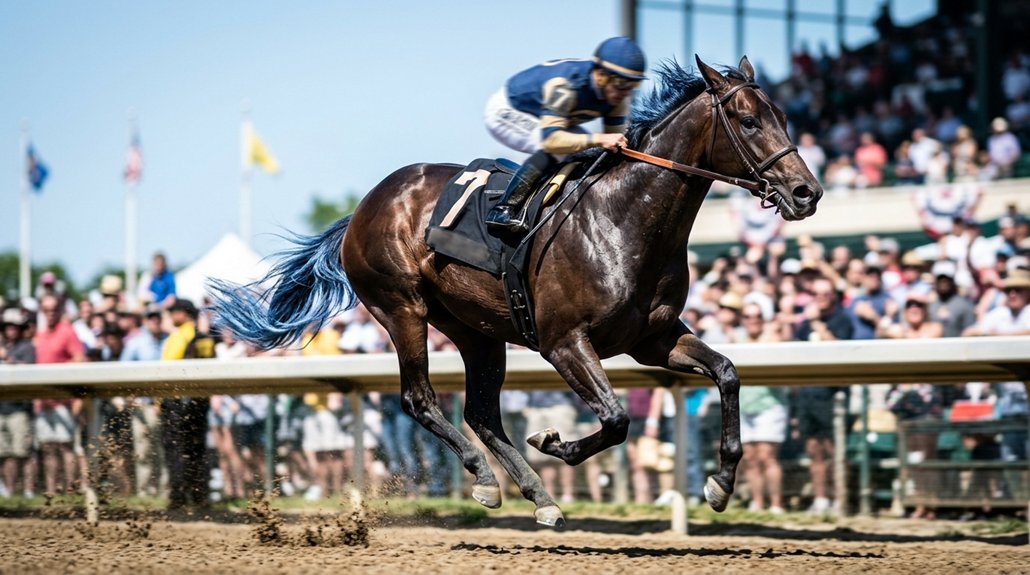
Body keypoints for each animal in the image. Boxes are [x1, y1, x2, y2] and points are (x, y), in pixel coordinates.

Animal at [210, 56, 822, 528]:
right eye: (748, 120)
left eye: (783, 115)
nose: (806, 192)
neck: (624, 220)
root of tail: (363, 208)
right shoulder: (563, 341)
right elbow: (616, 419)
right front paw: (556, 444)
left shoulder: (654, 339)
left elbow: (727, 374)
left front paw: (720, 483)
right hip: (402, 307)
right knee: (420, 399)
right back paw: (486, 477)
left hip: (476, 329)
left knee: (481, 412)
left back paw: (539, 497)